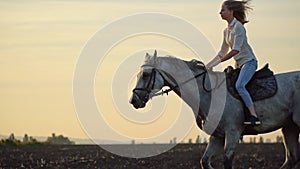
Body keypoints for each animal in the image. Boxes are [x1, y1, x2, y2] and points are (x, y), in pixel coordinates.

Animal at [129, 51, 300, 169]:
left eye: (145, 74)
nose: (133, 100)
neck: (210, 94)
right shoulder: (217, 136)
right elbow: (204, 161)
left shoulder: (233, 133)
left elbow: (227, 162)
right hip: (289, 128)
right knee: (292, 158)